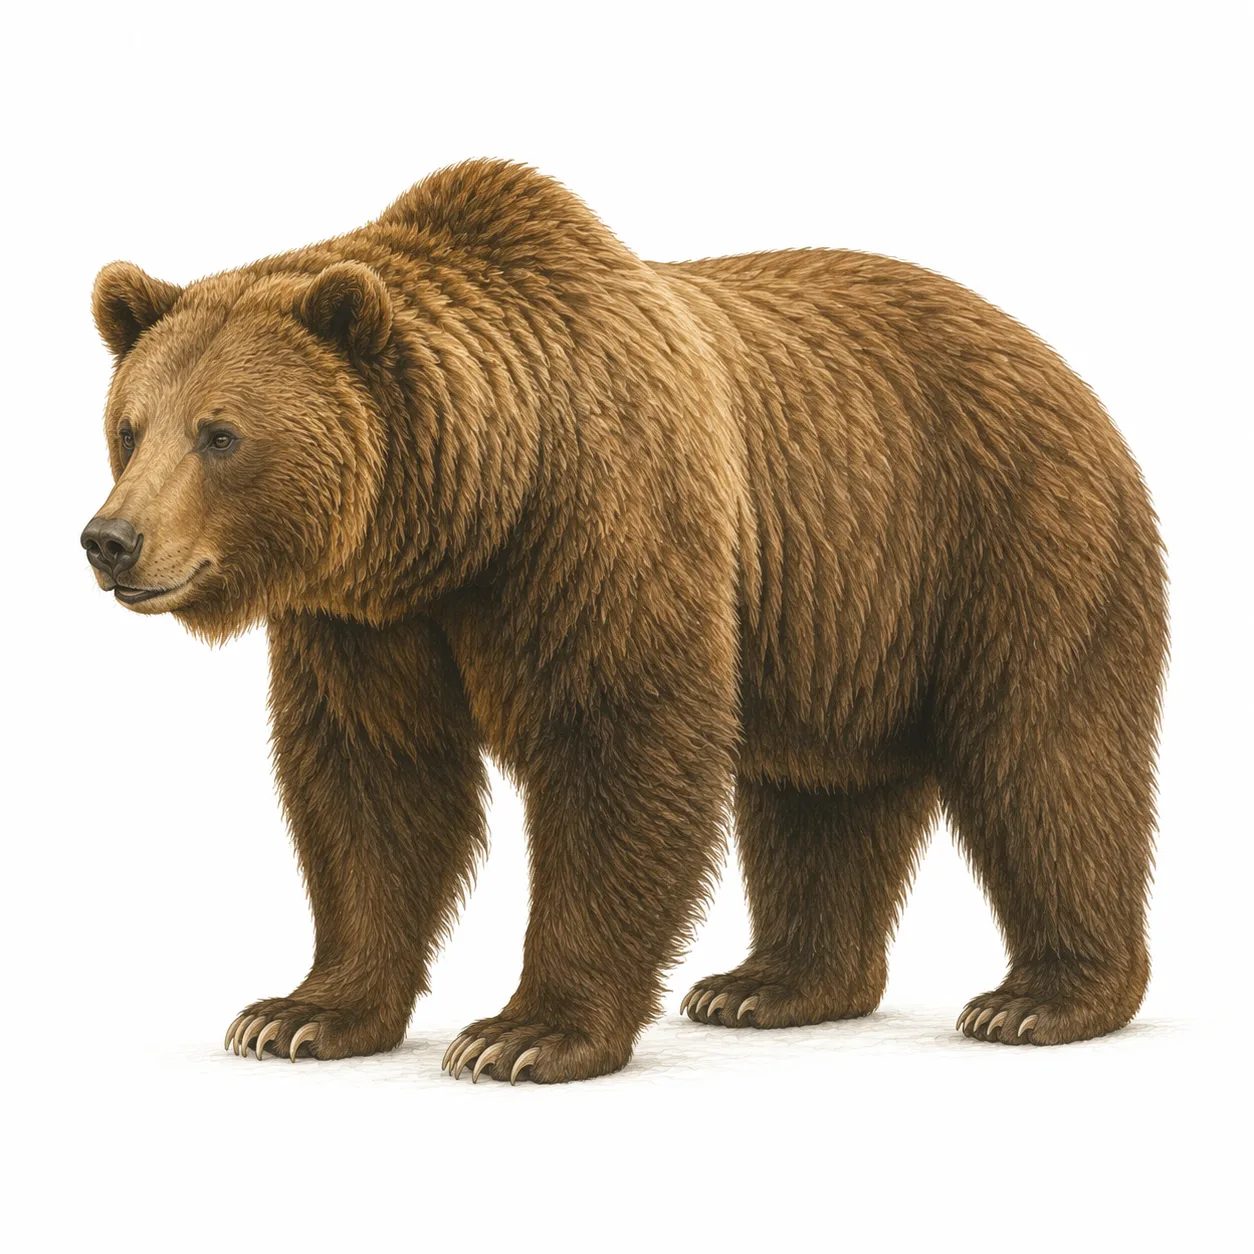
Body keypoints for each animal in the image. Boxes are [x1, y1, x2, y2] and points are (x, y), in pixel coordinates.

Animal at [82, 159, 1167, 1083]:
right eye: (129, 426)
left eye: (221, 434)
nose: (111, 541)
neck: (467, 513)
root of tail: (1057, 362)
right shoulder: (369, 621)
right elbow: (370, 784)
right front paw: (297, 1015)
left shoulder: (600, 526)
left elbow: (618, 748)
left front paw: (523, 1035)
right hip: (846, 618)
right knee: (820, 793)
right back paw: (768, 985)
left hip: (1009, 537)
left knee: (1046, 758)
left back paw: (1039, 1001)